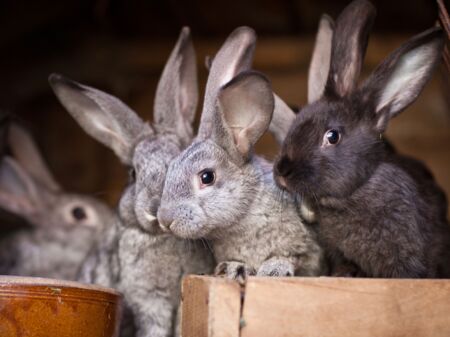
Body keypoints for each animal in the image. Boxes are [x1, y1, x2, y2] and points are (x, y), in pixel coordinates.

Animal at [157, 26, 324, 280]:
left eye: (207, 177)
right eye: (171, 167)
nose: (165, 220)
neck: (244, 215)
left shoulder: (307, 249)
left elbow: (293, 257)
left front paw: (274, 269)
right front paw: (233, 268)